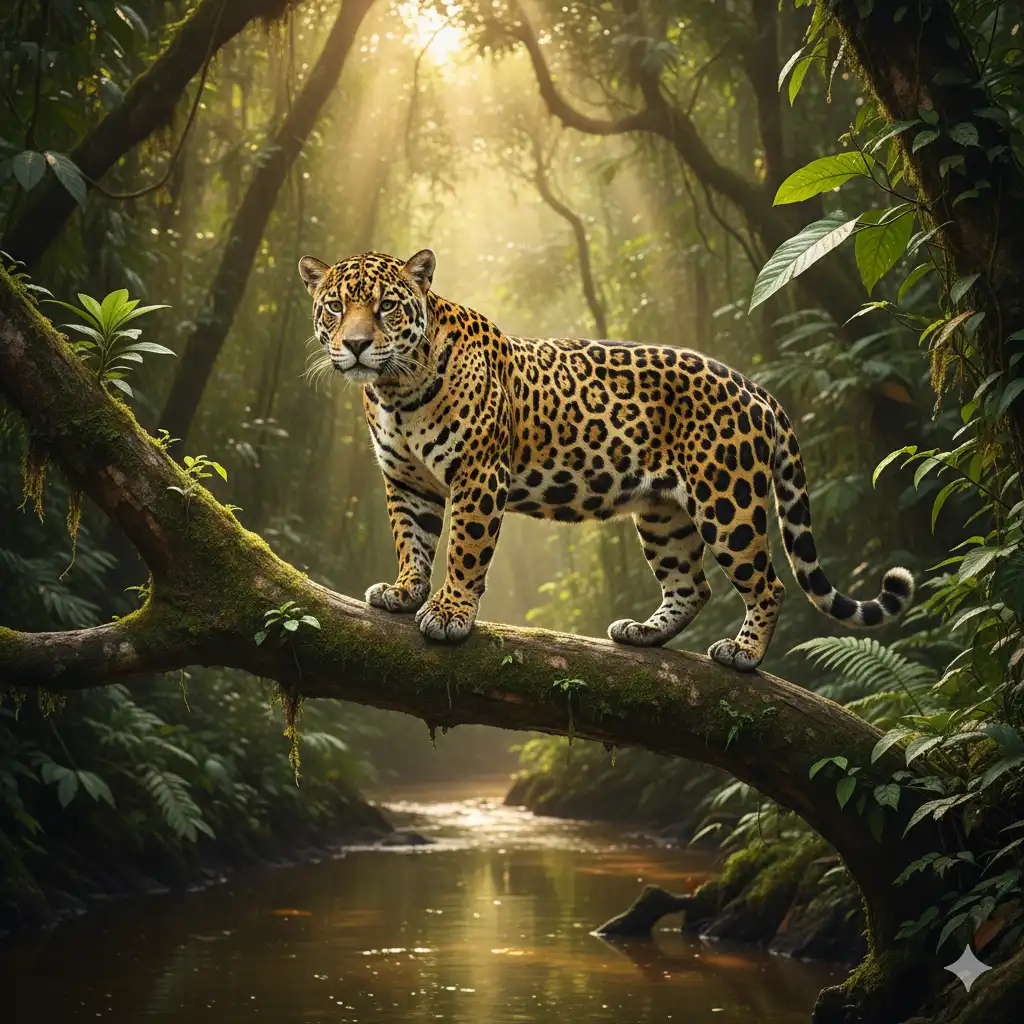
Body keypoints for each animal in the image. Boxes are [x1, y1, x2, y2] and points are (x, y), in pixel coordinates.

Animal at [298, 248, 915, 672]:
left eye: (387, 307)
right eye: (335, 307)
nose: (355, 345)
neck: (394, 391)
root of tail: (757, 388)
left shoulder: (478, 477)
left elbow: (465, 550)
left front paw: (450, 613)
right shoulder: (408, 482)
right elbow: (414, 541)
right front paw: (404, 591)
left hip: (727, 503)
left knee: (769, 583)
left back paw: (744, 653)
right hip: (664, 515)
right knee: (692, 585)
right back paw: (643, 633)